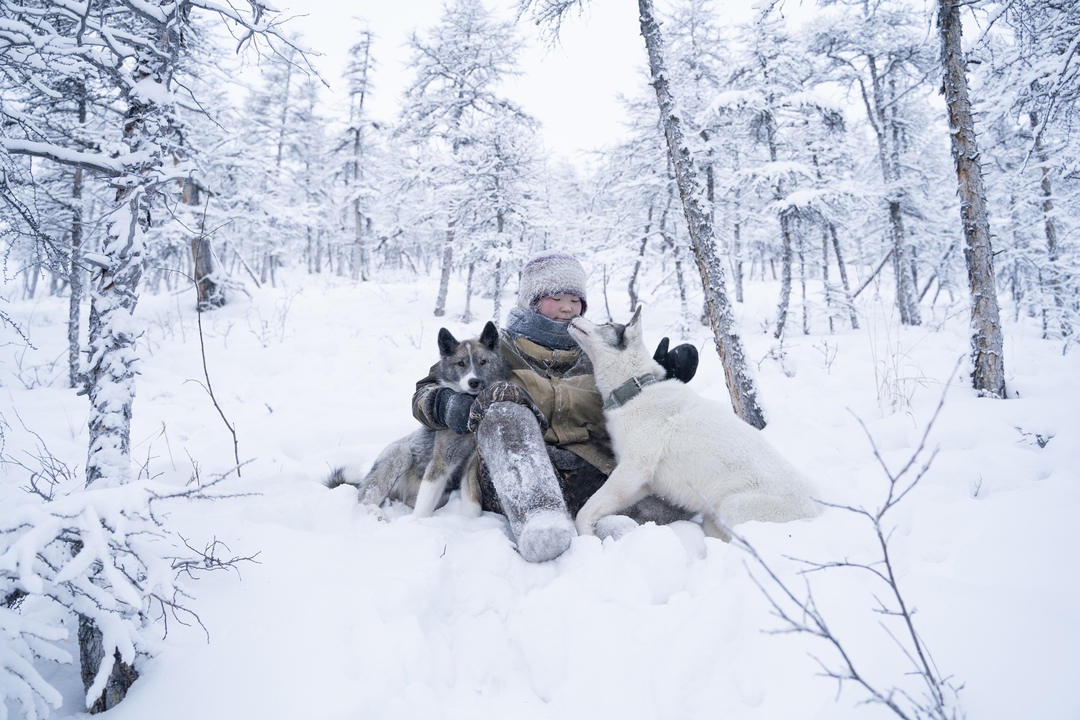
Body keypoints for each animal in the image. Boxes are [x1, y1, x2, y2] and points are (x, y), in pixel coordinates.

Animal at [324, 321, 509, 518]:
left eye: (483, 362)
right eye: (461, 363)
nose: (473, 381)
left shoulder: (471, 467)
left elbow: (473, 504)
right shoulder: (441, 463)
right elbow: (424, 505)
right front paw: (418, 522)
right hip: (401, 455)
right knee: (366, 499)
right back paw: (377, 513)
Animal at [565, 310, 816, 539]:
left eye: (606, 324)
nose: (575, 316)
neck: (636, 388)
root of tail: (817, 512)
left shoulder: (631, 470)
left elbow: (584, 512)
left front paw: (586, 539)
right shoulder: (638, 484)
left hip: (732, 509)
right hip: (713, 519)